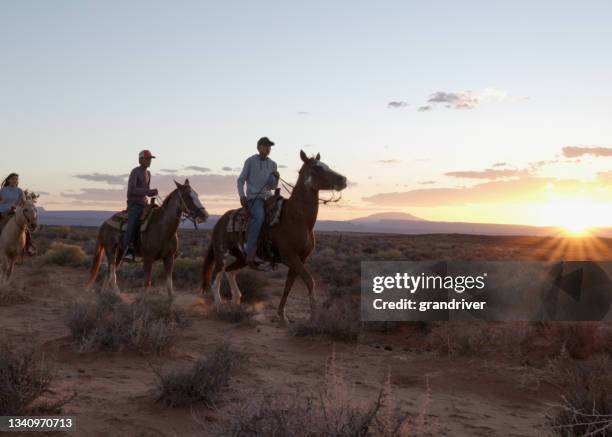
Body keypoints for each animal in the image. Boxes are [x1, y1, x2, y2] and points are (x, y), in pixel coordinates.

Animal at [201, 150, 344, 324]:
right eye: (317, 168)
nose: (343, 180)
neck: (297, 218)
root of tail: (220, 222)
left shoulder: (300, 259)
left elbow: (288, 287)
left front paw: (282, 316)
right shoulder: (290, 257)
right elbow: (310, 281)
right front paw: (313, 317)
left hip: (242, 257)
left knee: (229, 272)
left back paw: (236, 302)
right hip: (222, 254)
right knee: (216, 278)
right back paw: (220, 308)